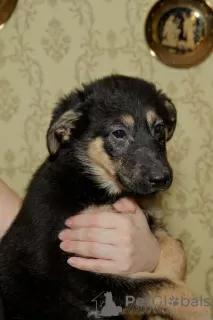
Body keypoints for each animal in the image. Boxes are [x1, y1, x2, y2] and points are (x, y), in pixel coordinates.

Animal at [0, 75, 210, 320]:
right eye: (119, 133)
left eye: (159, 128)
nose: (162, 179)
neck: (96, 187)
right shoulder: (80, 278)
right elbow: (163, 287)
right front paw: (201, 309)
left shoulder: (149, 222)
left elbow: (176, 247)